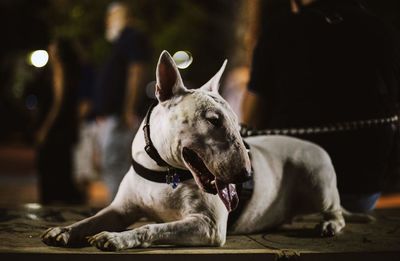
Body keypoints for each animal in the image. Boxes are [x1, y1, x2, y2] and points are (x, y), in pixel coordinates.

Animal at [42, 50, 368, 250]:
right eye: (213, 120)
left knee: (335, 210)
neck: (165, 171)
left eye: (236, 122)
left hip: (319, 182)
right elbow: (92, 219)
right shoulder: (120, 208)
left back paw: (329, 224)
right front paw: (65, 231)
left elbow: (152, 228)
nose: (245, 175)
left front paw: (117, 238)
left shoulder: (208, 225)